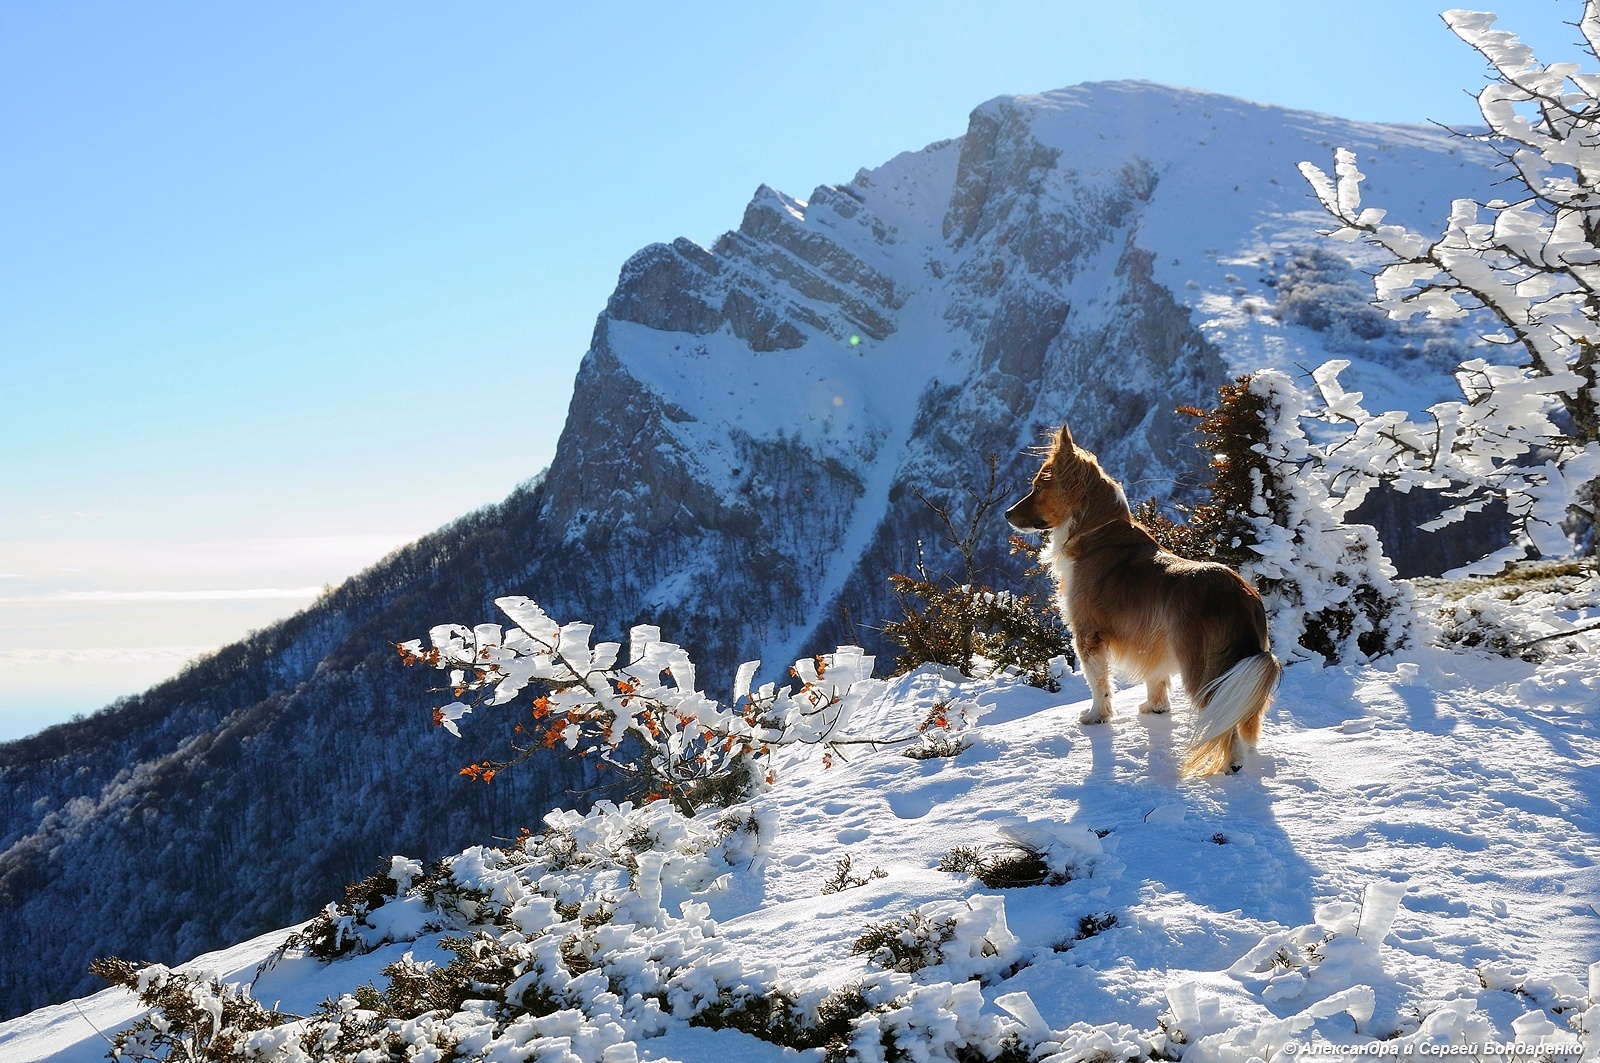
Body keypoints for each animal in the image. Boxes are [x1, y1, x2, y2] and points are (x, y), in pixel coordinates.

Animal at [1004, 422, 1280, 781]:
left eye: (1038, 487)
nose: (1006, 514)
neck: (1096, 532)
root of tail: (1242, 596)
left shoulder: (1088, 633)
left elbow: (1098, 683)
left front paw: (1096, 716)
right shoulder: (1155, 640)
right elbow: (1156, 677)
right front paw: (1155, 709)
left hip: (1205, 666)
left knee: (1223, 721)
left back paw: (1230, 764)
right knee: (1245, 717)